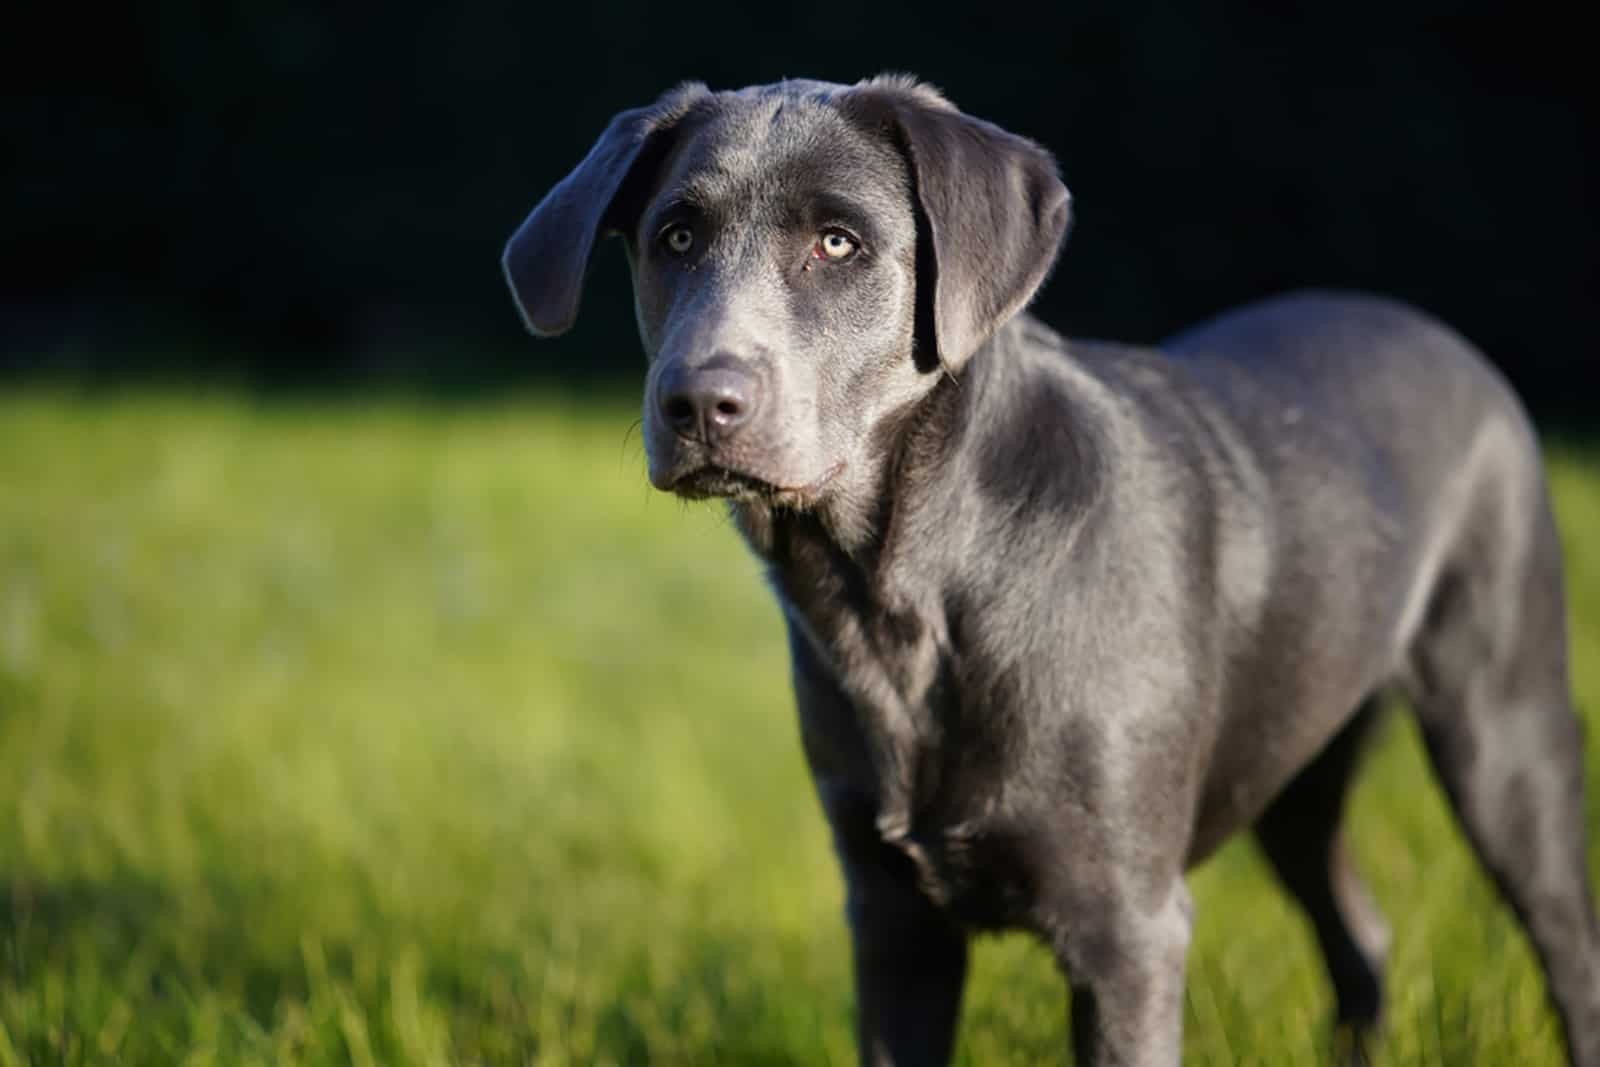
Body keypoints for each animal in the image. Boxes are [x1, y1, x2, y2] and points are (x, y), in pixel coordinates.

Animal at [502, 77, 1600, 1067]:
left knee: (1567, 946)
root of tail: (1442, 336)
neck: (907, 595)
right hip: (1295, 755)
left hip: (1504, 731)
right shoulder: (892, 922)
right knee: (1358, 936)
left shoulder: (1127, 933)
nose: (697, 402)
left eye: (839, 242)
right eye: (675, 238)